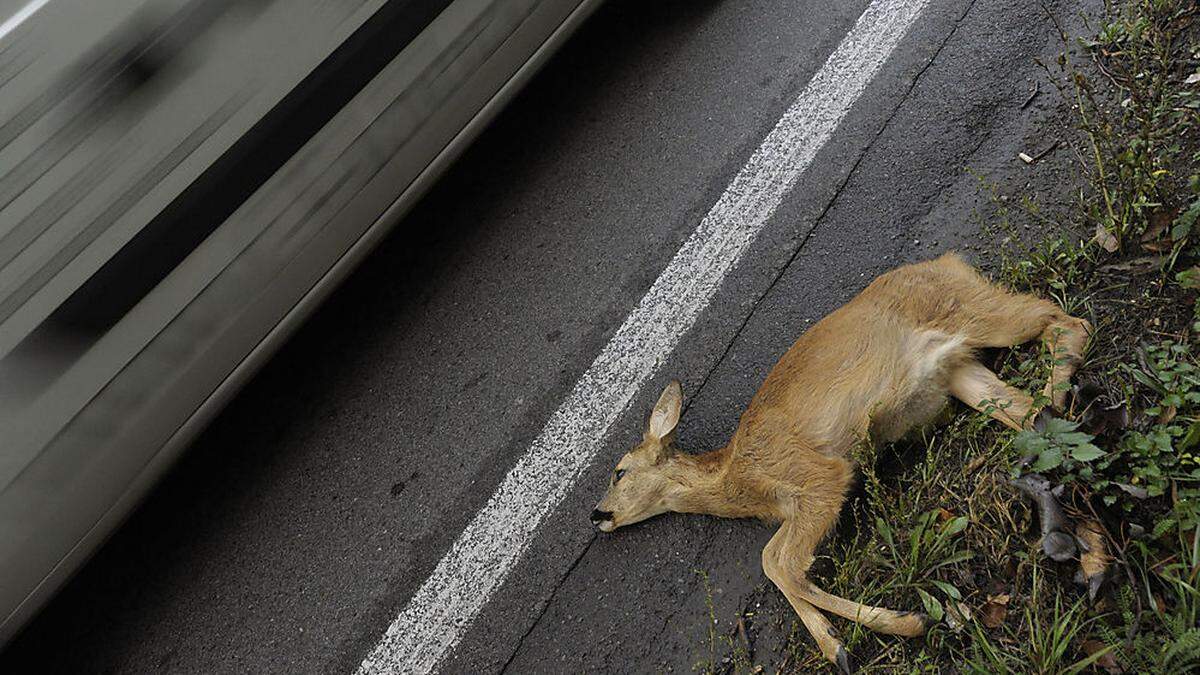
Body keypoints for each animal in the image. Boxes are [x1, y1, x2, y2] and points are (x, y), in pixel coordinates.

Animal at [588, 251, 1089, 667]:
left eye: (619, 471)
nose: (597, 514)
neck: (737, 477)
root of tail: (949, 261)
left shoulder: (821, 476)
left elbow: (783, 565)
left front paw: (904, 623)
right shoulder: (798, 502)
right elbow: (771, 560)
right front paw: (839, 646)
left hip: (976, 311)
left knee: (1066, 321)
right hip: (960, 371)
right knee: (1020, 401)